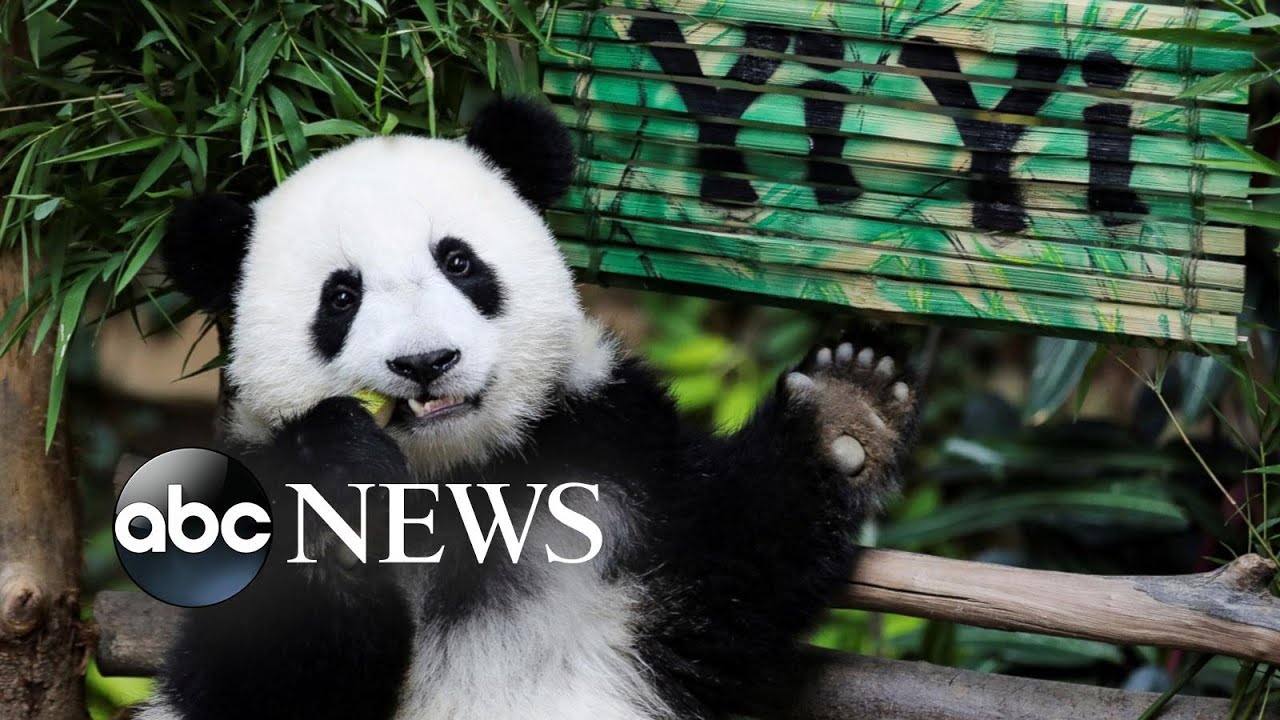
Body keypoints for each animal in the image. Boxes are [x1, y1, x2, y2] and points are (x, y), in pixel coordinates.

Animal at [140, 98, 919, 720]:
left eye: (459, 262)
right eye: (341, 296)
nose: (425, 362)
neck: (455, 476)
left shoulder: (609, 453)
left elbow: (728, 564)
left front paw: (845, 415)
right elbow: (255, 675)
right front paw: (338, 482)